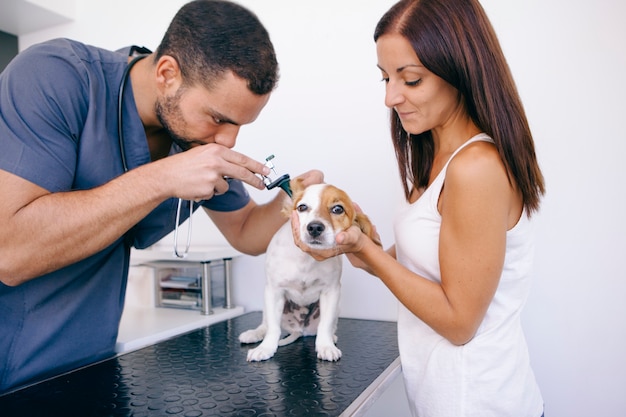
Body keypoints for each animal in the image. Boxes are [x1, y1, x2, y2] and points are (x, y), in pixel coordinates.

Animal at [236, 179, 378, 360]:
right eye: (302, 207)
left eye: (337, 209)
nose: (315, 227)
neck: (306, 258)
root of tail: (299, 329)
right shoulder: (274, 291)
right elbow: (273, 328)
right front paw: (265, 348)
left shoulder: (331, 292)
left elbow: (325, 325)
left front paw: (325, 346)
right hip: (267, 304)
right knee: (266, 324)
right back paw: (254, 334)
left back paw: (331, 337)